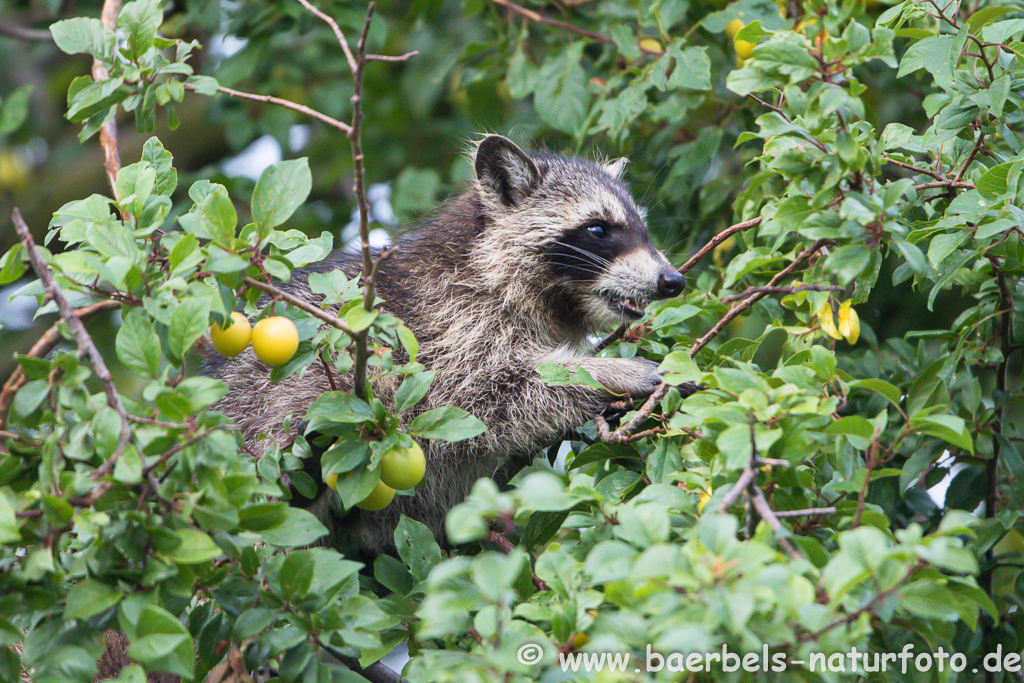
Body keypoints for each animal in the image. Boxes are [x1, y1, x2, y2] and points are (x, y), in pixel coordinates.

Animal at [205, 135, 688, 557]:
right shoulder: (441, 325)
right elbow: (485, 394)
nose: (673, 280)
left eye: (642, 228)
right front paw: (609, 372)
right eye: (599, 229)